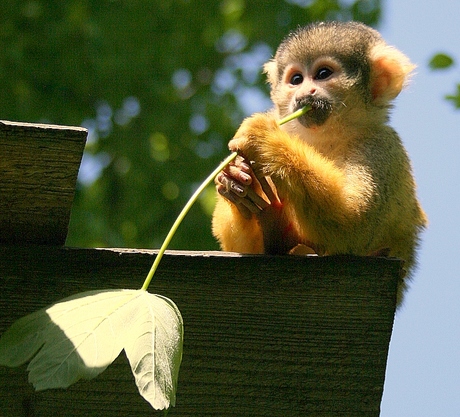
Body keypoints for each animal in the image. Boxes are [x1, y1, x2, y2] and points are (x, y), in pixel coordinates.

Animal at [212, 21, 428, 304]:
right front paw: (235, 179)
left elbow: (354, 223)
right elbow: (241, 249)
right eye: (296, 80)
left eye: (323, 74)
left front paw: (264, 139)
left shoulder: (382, 147)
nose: (305, 93)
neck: (329, 136)